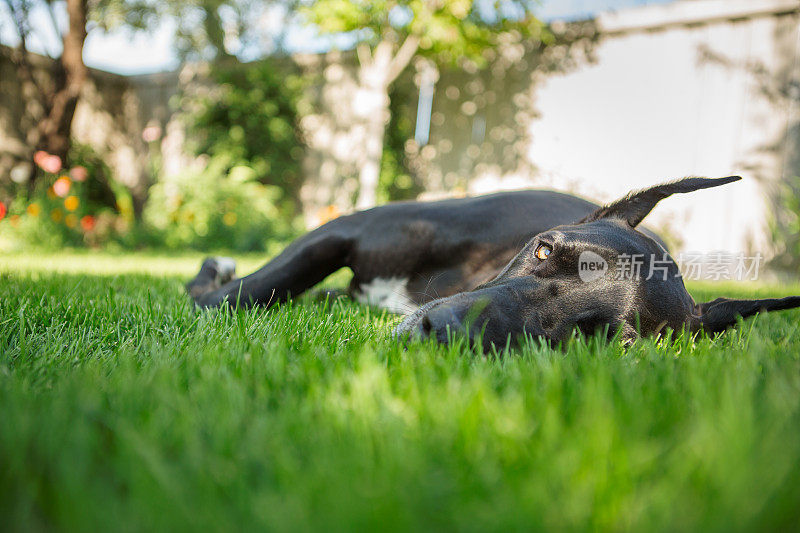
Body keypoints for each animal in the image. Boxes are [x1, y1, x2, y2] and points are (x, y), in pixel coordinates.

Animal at [186, 177, 800, 348]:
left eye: (601, 337)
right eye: (545, 249)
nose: (438, 331)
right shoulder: (344, 231)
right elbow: (257, 287)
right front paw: (213, 286)